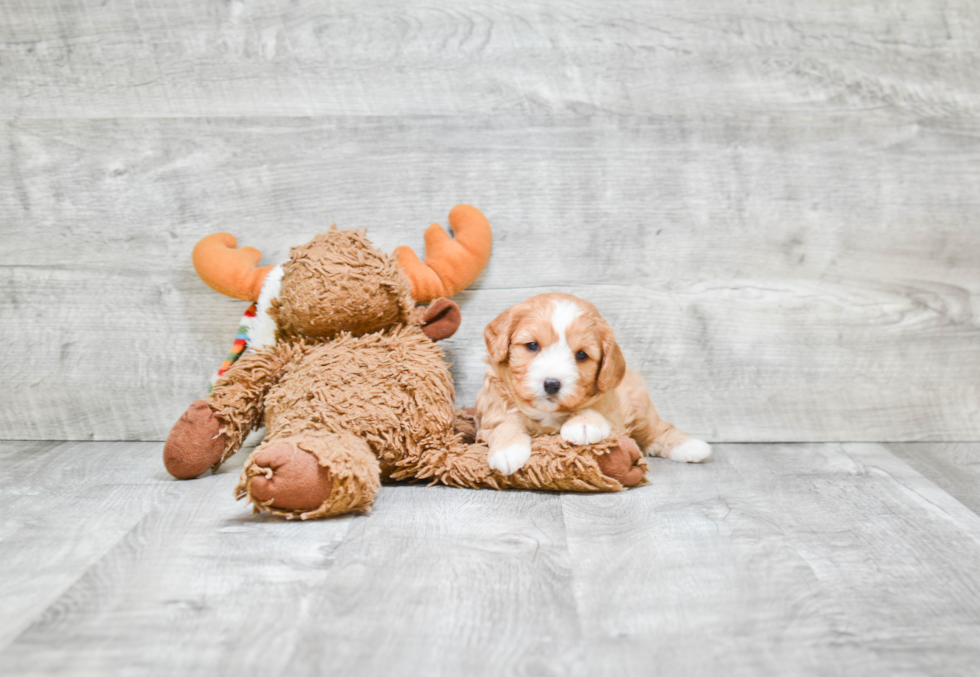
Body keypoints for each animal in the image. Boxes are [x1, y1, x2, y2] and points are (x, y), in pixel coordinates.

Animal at [476, 292, 712, 476]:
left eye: (581, 355)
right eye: (532, 346)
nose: (551, 384)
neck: (548, 414)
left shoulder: (612, 408)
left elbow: (596, 407)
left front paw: (583, 423)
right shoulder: (492, 406)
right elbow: (503, 423)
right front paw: (508, 449)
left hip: (641, 410)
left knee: (658, 430)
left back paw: (692, 446)